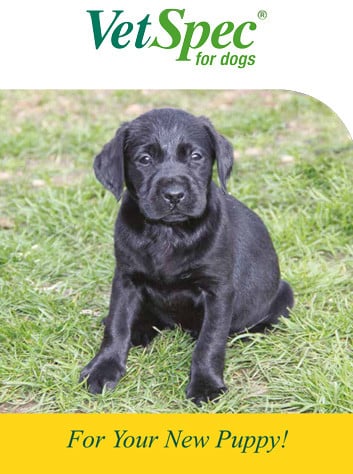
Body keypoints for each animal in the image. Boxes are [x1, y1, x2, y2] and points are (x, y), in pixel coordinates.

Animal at [80, 107, 294, 404]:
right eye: (144, 159)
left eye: (196, 156)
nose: (174, 195)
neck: (168, 233)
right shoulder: (125, 279)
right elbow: (117, 325)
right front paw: (103, 368)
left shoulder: (218, 290)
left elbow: (210, 341)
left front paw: (205, 384)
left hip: (282, 297)